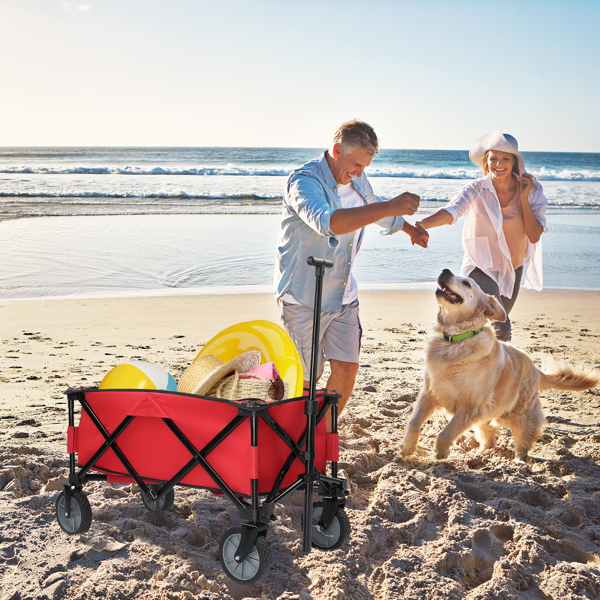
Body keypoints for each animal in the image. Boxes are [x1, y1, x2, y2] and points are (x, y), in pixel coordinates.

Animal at [398, 270, 600, 462]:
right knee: (490, 438)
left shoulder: (470, 407)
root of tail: (536, 369)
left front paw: (441, 452)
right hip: (488, 416)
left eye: (467, 283)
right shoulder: (430, 393)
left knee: (524, 441)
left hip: (517, 414)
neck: (456, 340)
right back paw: (480, 454)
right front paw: (407, 447)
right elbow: (414, 422)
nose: (445, 271)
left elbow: (446, 433)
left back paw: (519, 462)